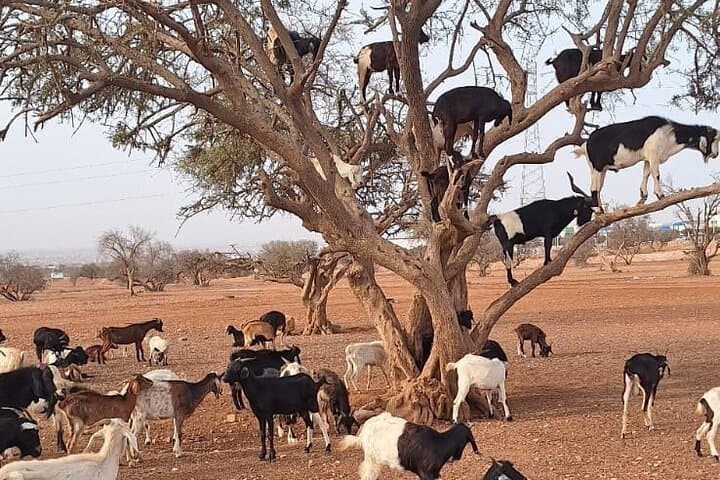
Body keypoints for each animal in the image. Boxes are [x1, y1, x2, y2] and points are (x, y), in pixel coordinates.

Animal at [340, 411, 478, 480]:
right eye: (466, 441)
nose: (457, 457)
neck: (439, 443)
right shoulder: (426, 474)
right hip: (371, 458)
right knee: (367, 474)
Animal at [574, 116, 720, 210]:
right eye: (714, 139)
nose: (716, 154)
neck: (669, 134)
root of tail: (587, 143)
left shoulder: (648, 158)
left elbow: (646, 174)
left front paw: (643, 196)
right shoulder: (654, 155)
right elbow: (656, 174)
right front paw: (660, 195)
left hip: (600, 169)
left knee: (599, 187)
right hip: (597, 166)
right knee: (593, 187)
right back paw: (598, 210)